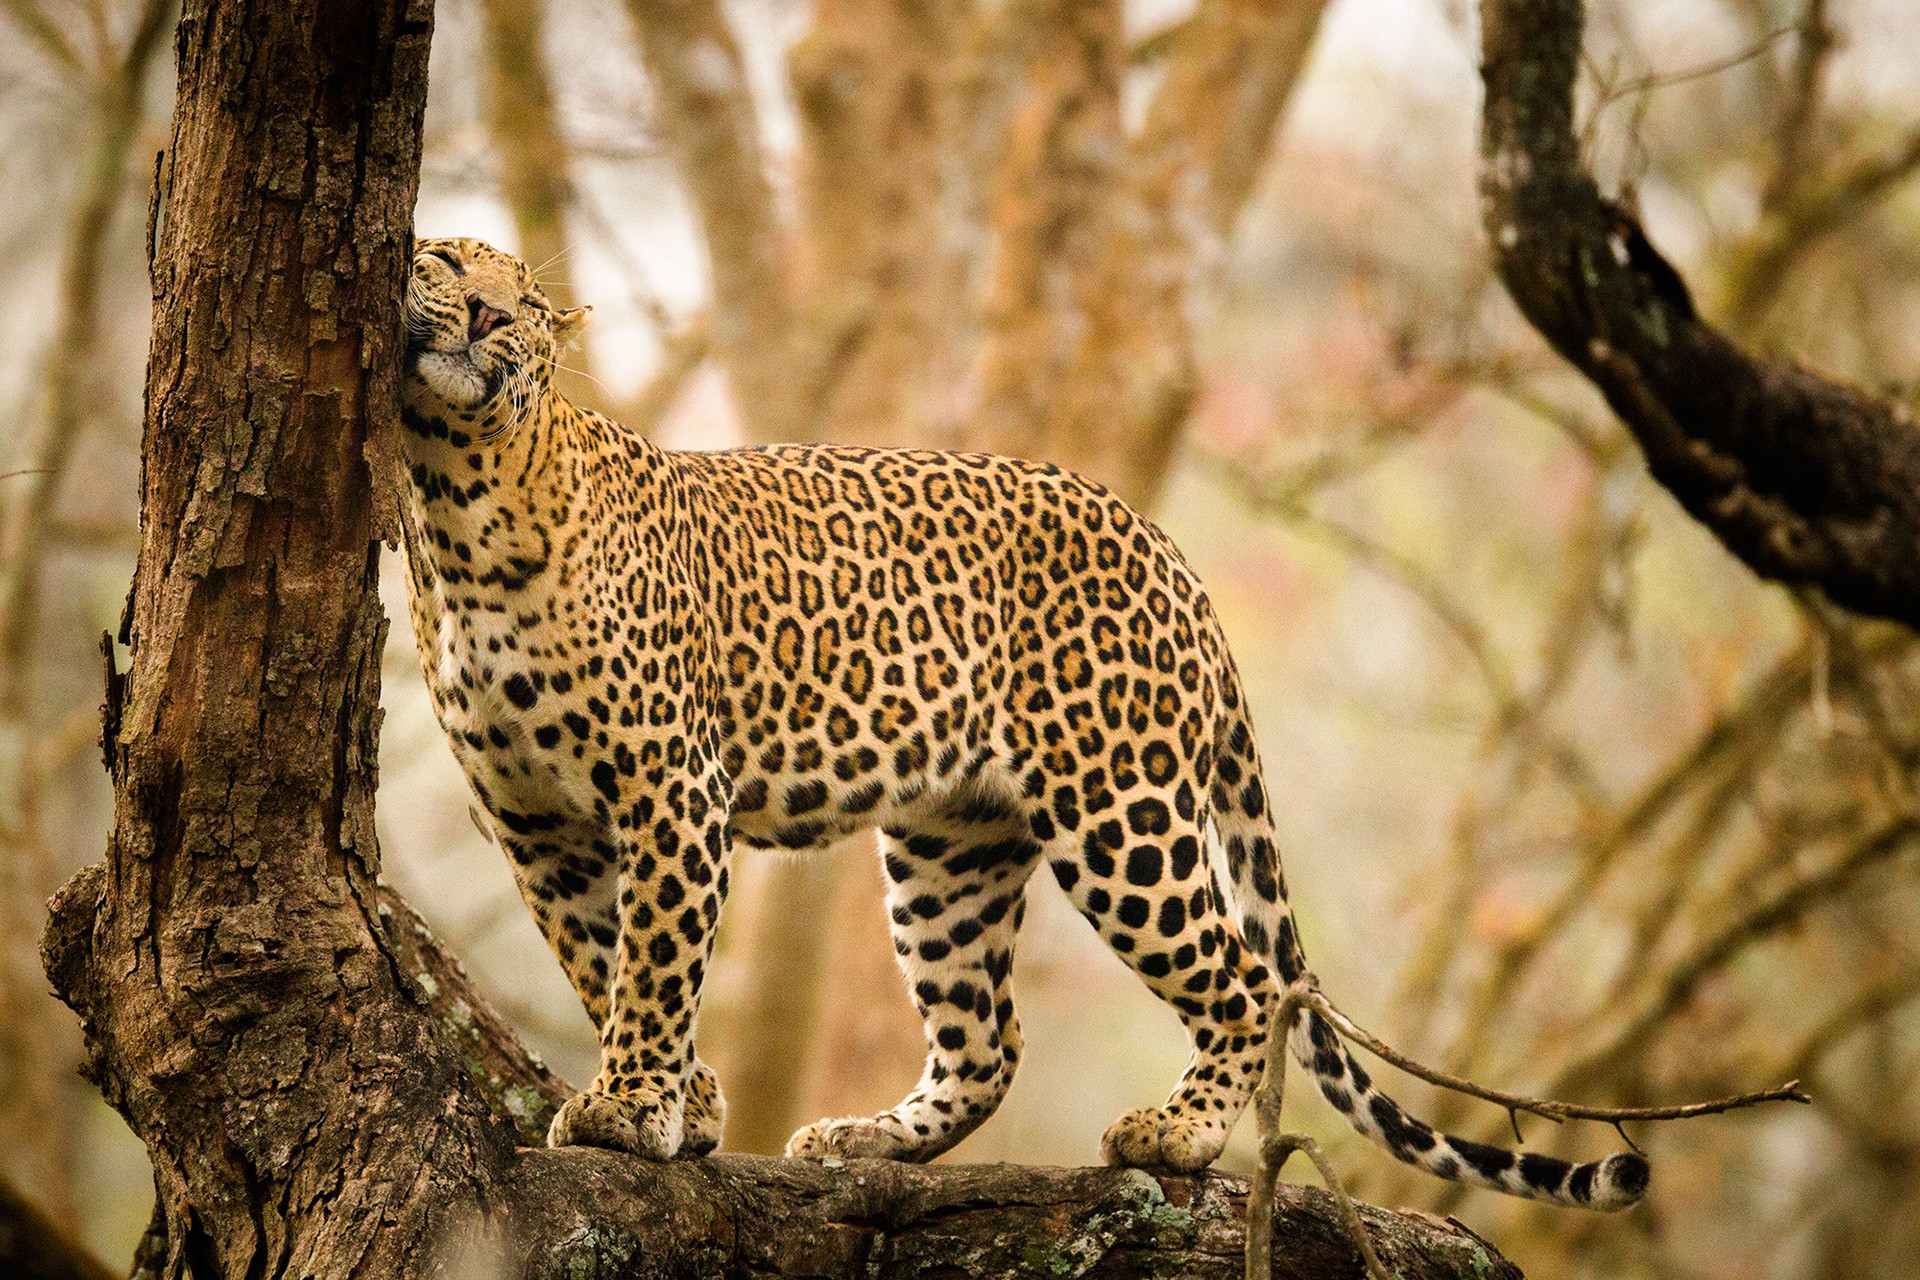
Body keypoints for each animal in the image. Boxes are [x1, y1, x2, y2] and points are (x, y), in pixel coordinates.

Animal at [393, 237, 1651, 1212]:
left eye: (525, 299)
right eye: (444, 261)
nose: (491, 311)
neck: (461, 502)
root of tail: (1174, 554)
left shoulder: (668, 788)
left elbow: (654, 958)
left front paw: (628, 1106)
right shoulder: (537, 823)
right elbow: (602, 957)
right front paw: (685, 1104)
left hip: (1120, 806)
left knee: (1244, 978)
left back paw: (1178, 1131)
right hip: (951, 841)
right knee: (988, 1038)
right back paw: (868, 1137)